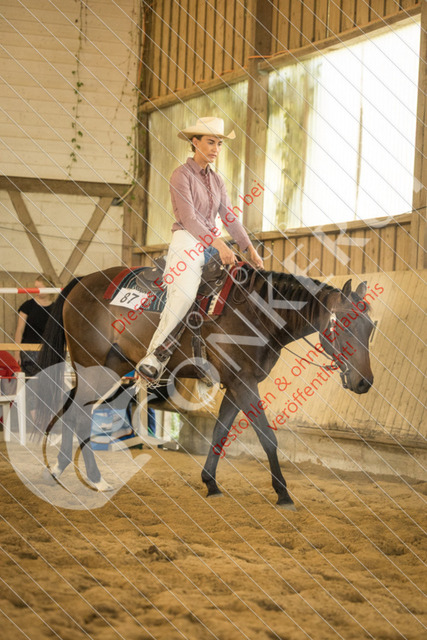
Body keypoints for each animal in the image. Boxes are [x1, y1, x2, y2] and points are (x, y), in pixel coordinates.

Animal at [37, 264, 374, 509]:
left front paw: (210, 483)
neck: (257, 314)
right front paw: (283, 493)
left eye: (370, 327)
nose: (365, 381)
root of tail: (82, 281)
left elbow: (220, 432)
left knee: (75, 413)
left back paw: (62, 471)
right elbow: (267, 438)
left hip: (111, 367)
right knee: (79, 414)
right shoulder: (244, 383)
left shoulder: (237, 385)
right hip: (91, 365)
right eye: (344, 323)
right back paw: (94, 479)